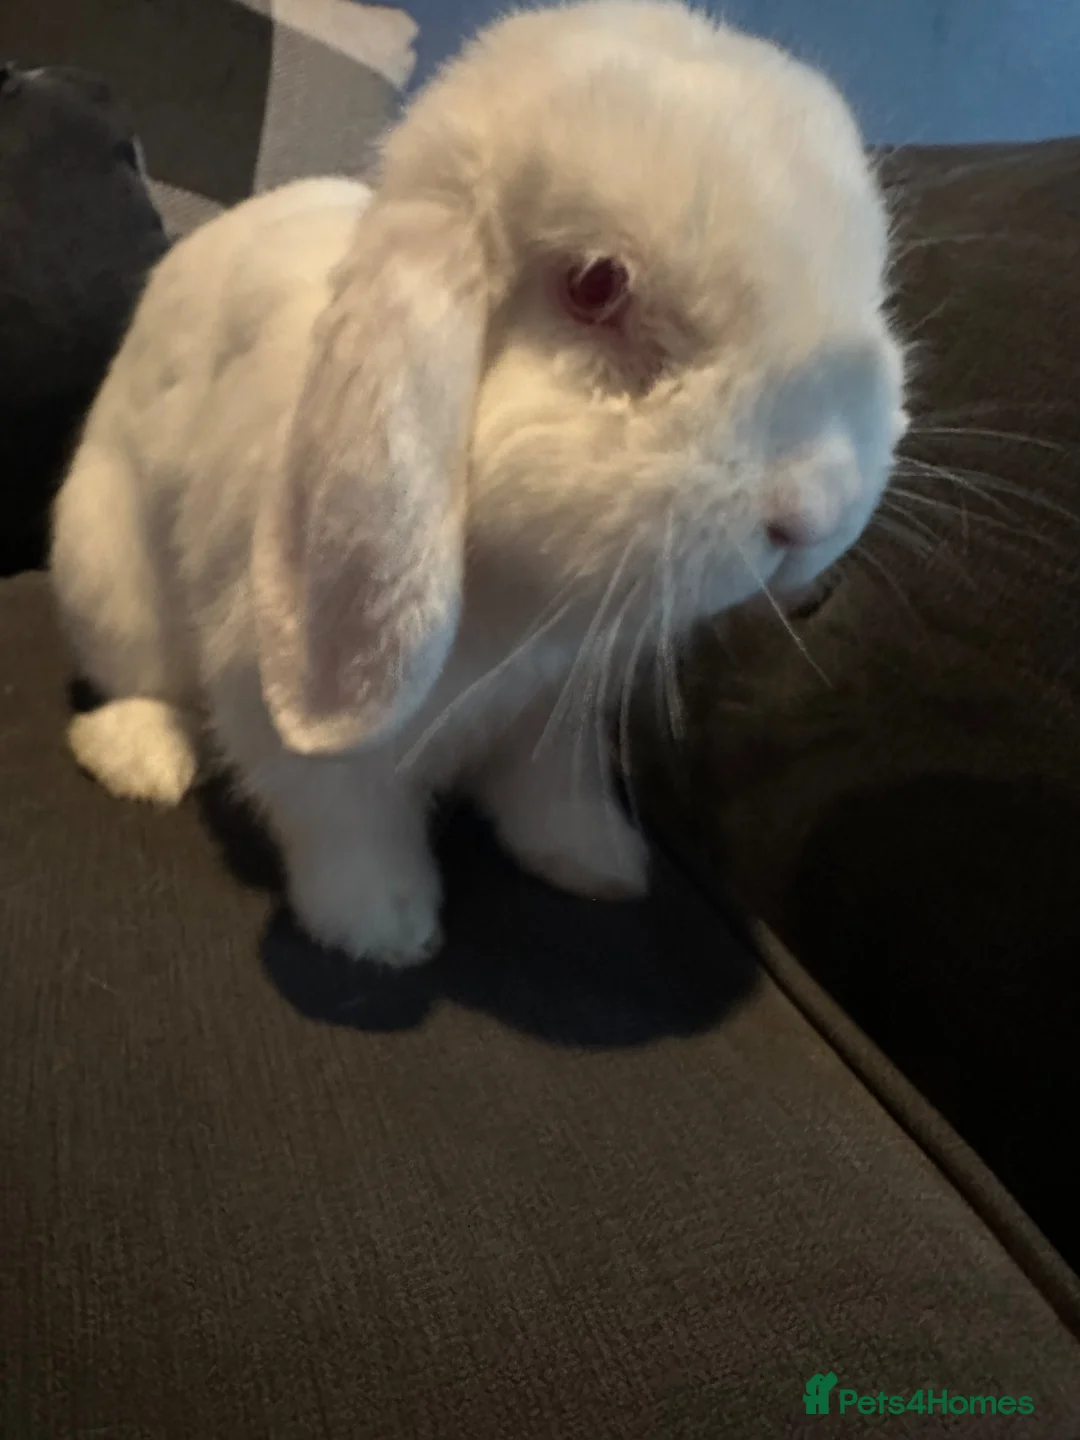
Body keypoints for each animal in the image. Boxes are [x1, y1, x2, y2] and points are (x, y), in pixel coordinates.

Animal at [50, 0, 907, 969]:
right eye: (595, 286)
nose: (814, 511)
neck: (526, 599)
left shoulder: (558, 715)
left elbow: (551, 793)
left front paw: (600, 866)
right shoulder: (286, 715)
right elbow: (344, 818)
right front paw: (385, 929)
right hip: (107, 575)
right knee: (142, 683)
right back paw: (141, 760)